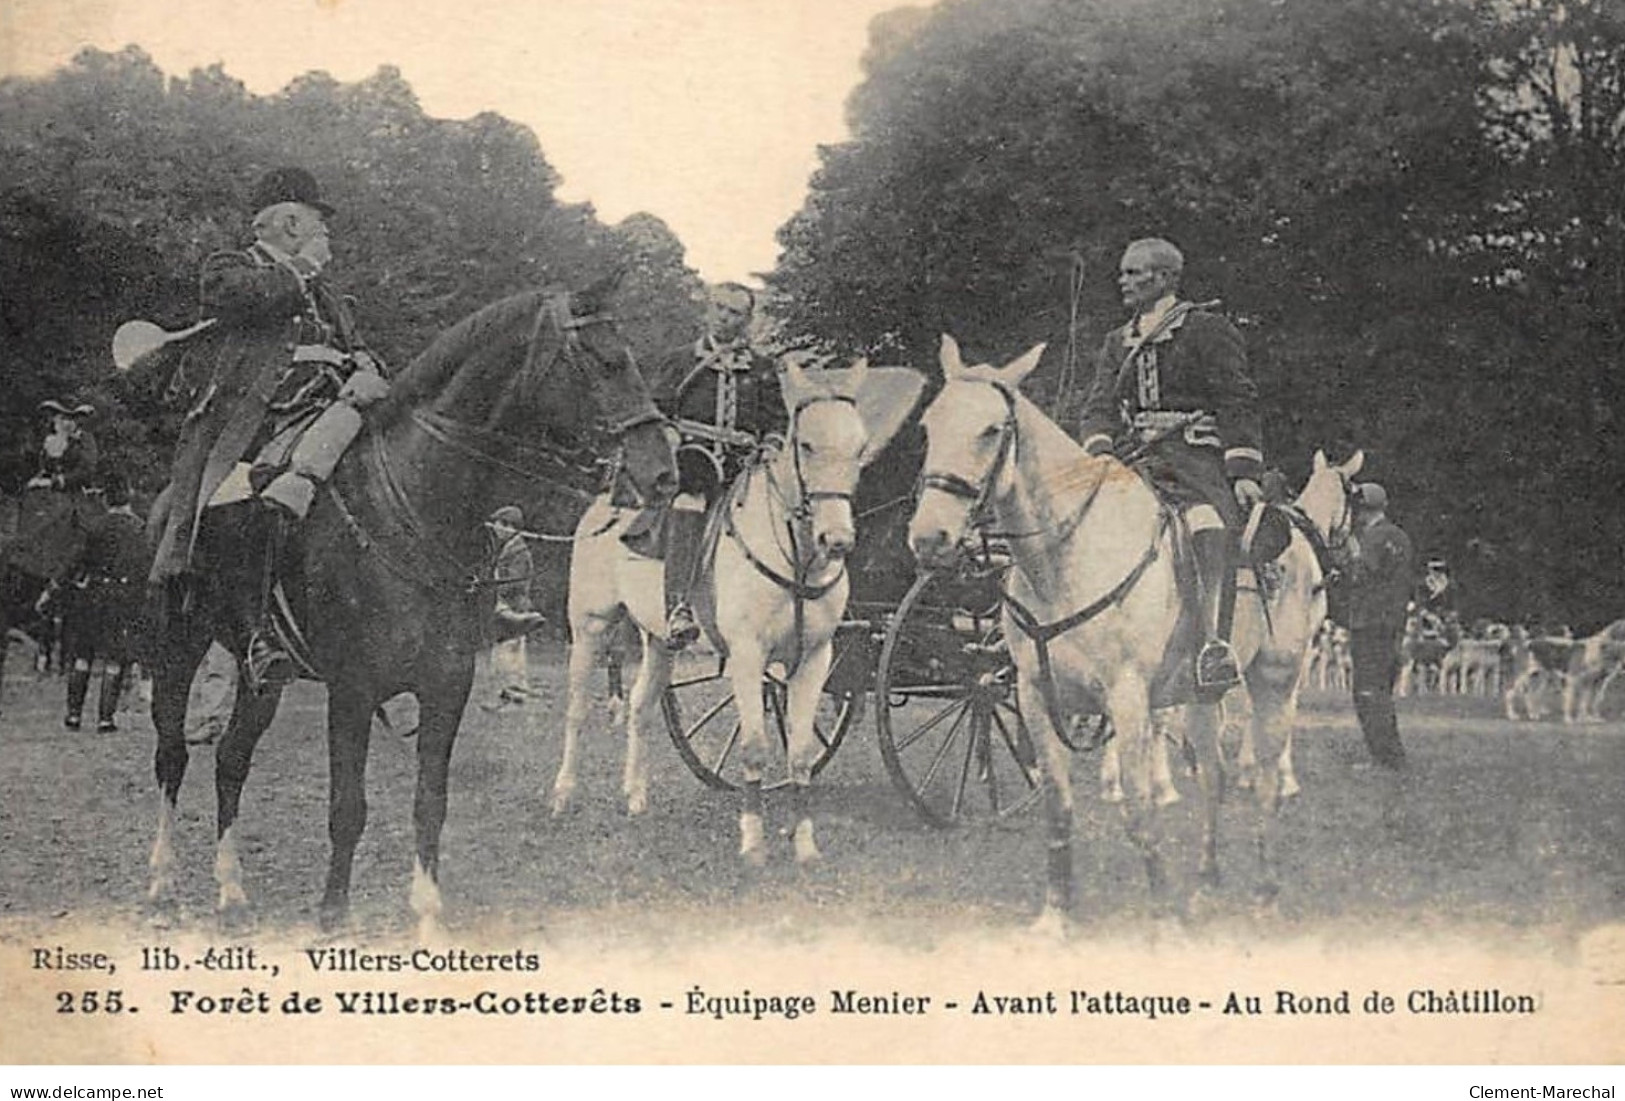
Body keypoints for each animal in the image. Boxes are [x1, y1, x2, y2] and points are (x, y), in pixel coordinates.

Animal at [139, 280, 672, 935]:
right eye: (605, 362)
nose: (663, 471)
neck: (416, 502)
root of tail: (169, 500)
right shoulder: (351, 690)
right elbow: (348, 805)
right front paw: (333, 910)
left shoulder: (447, 685)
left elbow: (430, 802)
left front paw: (427, 910)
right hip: (178, 648)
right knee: (172, 755)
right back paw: (163, 878)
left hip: (261, 673)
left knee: (231, 760)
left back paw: (231, 887)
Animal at [559, 357, 923, 863]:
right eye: (806, 444)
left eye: (860, 446)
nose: (837, 540)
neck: (796, 558)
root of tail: (604, 507)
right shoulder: (749, 657)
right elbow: (753, 745)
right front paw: (752, 841)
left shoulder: (815, 660)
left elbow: (800, 755)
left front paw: (805, 845)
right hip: (590, 626)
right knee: (576, 708)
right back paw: (563, 795)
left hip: (659, 640)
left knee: (640, 706)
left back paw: (635, 796)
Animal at [910, 339, 1352, 928]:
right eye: (929, 425)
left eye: (990, 429)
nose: (929, 538)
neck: (1066, 556)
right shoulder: (1034, 697)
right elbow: (1058, 807)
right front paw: (1055, 915)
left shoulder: (1127, 698)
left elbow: (1140, 812)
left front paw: (1161, 912)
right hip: (1200, 695)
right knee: (1213, 777)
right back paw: (1206, 883)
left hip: (1276, 680)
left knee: (1261, 781)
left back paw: (1264, 892)